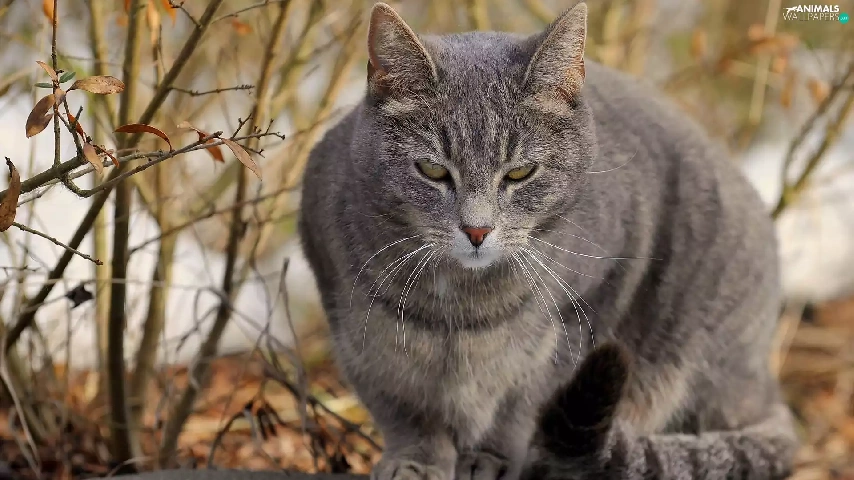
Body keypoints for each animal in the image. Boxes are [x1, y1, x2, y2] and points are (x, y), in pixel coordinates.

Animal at [297, 2, 799, 480]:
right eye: (433, 170)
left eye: (520, 172)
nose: (476, 230)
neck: (460, 310)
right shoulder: (359, 336)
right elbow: (404, 412)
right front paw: (416, 461)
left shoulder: (585, 311)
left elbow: (520, 407)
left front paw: (492, 458)